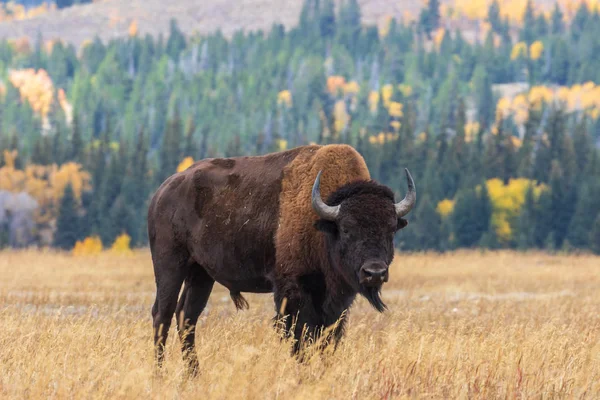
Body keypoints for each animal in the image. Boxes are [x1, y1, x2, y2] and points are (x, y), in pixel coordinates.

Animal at [148, 144, 414, 372]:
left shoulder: (337, 301)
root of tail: (162, 191)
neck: (324, 225)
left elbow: (328, 338)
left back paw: (194, 374)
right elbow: (300, 338)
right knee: (163, 315)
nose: (374, 272)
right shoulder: (292, 292)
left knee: (187, 316)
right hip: (170, 265)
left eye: (391, 229)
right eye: (347, 228)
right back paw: (160, 373)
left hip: (201, 274)